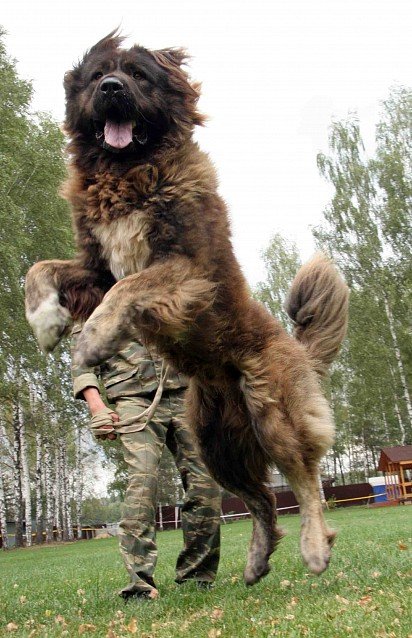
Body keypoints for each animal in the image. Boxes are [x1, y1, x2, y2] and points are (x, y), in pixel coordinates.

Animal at [25, 32, 348, 588]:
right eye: (97, 76)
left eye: (137, 74)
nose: (112, 88)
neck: (128, 170)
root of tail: (297, 348)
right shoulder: (96, 268)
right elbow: (41, 269)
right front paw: (45, 320)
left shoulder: (188, 267)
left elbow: (130, 287)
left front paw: (92, 338)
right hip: (216, 442)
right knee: (262, 502)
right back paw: (257, 559)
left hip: (273, 410)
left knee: (305, 480)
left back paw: (314, 547)